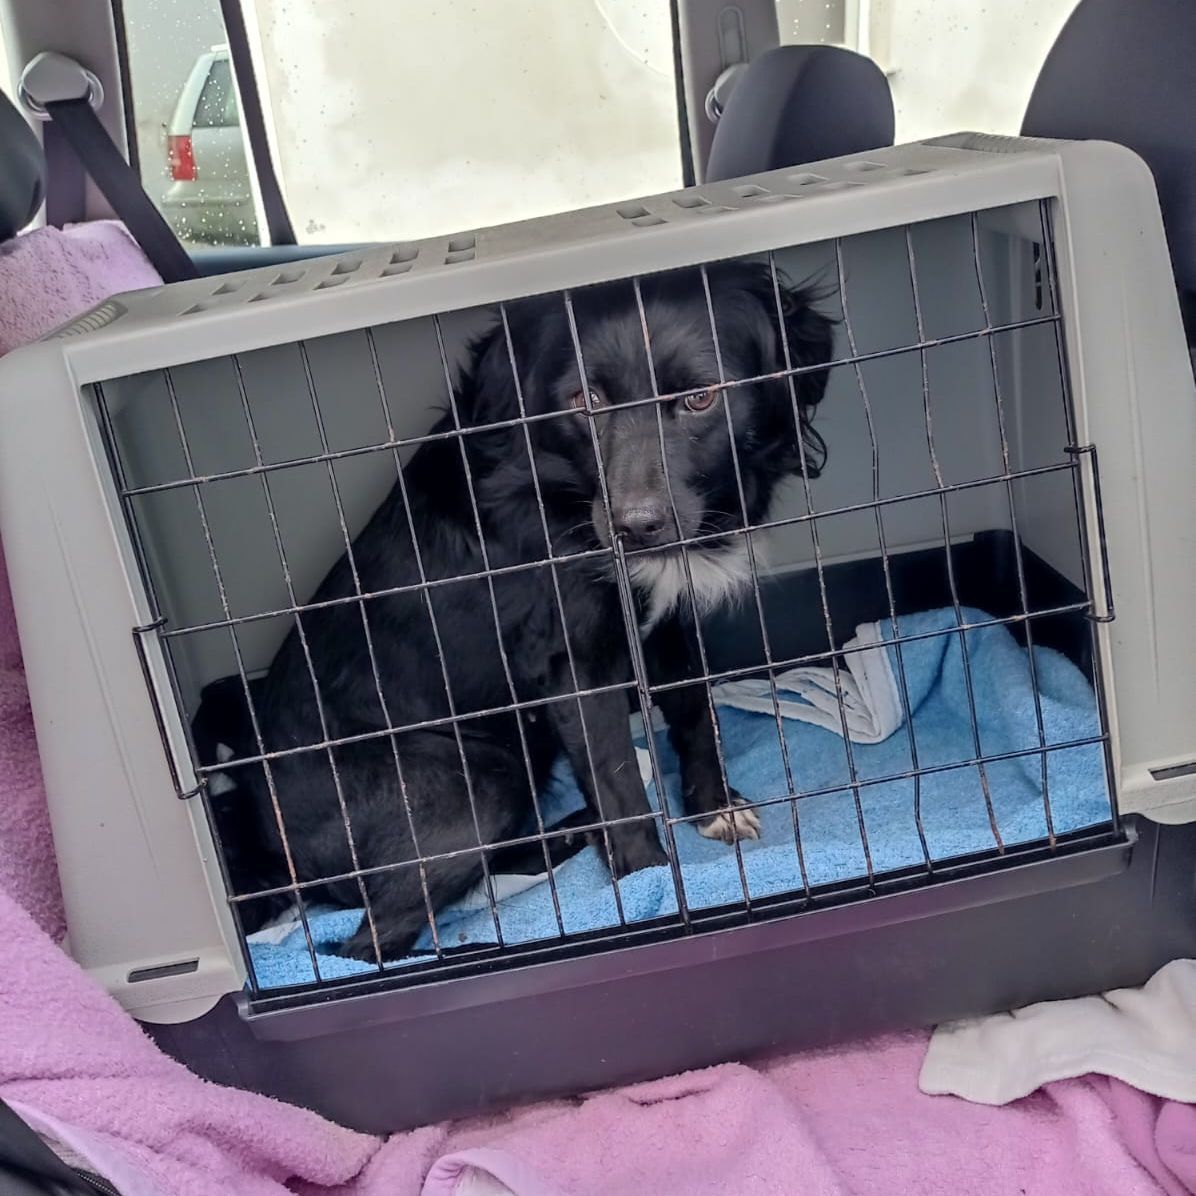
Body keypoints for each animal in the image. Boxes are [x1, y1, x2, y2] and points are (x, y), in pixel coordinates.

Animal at [218, 259, 834, 962]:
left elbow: (696, 713)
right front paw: (649, 884)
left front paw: (713, 806)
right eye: (585, 402)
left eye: (701, 398)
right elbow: (616, 777)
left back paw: (569, 833)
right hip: (478, 781)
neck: (565, 491)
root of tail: (267, 839)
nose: (635, 527)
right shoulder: (574, 661)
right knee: (365, 945)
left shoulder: (669, 622)